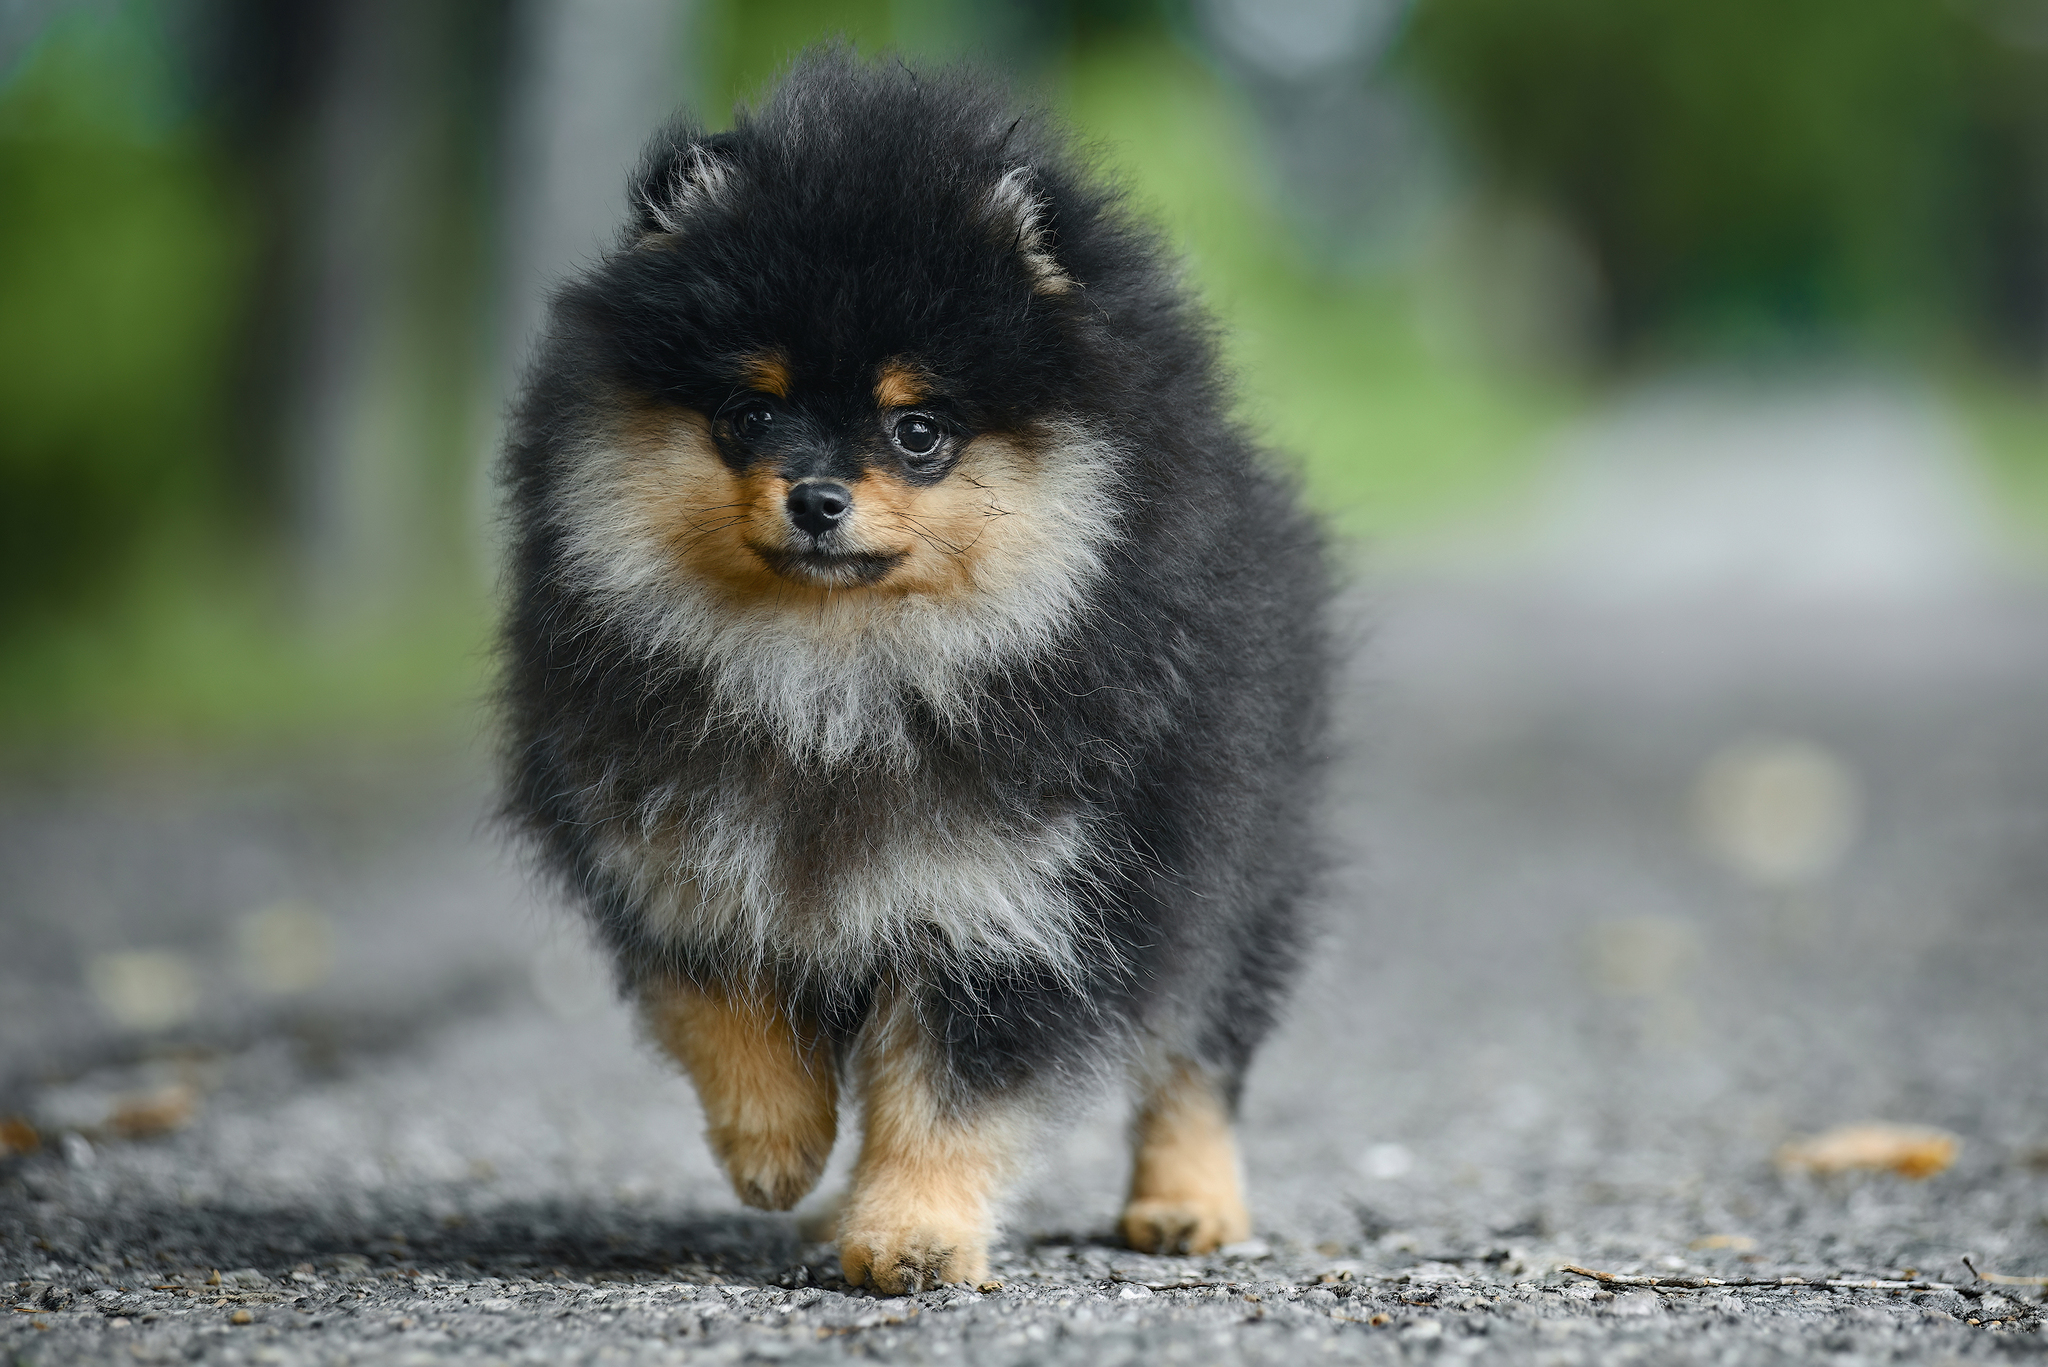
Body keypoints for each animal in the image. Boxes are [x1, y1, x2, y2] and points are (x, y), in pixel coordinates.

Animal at [495, 50, 1327, 1295]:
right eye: (750, 411)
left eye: (917, 429)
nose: (815, 497)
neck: (836, 676)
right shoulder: (674, 842)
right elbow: (721, 999)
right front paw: (775, 1149)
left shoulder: (1018, 901)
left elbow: (949, 1092)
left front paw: (915, 1235)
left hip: (1240, 858)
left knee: (1198, 1046)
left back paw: (1186, 1200)